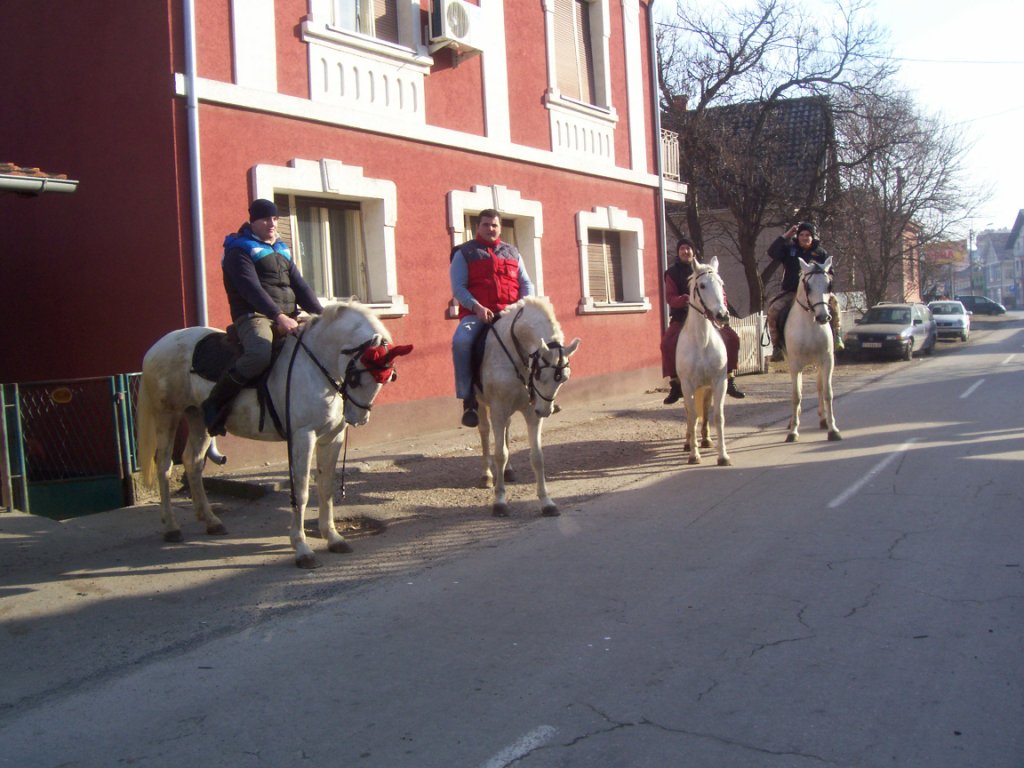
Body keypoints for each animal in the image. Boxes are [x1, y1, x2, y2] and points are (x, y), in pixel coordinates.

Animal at [136, 303, 411, 569]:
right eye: (355, 378)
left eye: (387, 378)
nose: (357, 418)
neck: (316, 365)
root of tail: (159, 345)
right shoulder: (303, 437)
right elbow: (302, 491)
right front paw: (302, 548)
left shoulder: (332, 438)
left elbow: (326, 487)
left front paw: (332, 537)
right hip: (167, 415)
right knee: (164, 466)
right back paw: (171, 526)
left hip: (197, 419)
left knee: (192, 463)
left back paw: (211, 521)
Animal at [473, 296, 581, 518]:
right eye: (540, 375)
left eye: (563, 379)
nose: (545, 411)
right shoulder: (498, 409)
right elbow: (500, 454)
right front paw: (500, 501)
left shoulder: (532, 412)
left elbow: (537, 456)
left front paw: (546, 502)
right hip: (481, 404)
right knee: (485, 433)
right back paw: (486, 475)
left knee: (506, 430)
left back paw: (508, 471)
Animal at [675, 256, 733, 466]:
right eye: (702, 285)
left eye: (721, 284)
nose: (722, 315)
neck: (702, 342)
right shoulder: (687, 385)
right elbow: (692, 416)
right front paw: (694, 455)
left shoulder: (719, 382)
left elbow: (718, 416)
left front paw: (723, 455)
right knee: (689, 412)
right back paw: (688, 442)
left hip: (706, 387)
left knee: (706, 410)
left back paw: (706, 439)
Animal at [782, 256, 839, 442]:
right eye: (808, 286)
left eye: (829, 285)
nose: (823, 317)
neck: (810, 325)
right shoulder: (795, 364)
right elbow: (796, 395)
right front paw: (793, 431)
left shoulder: (827, 360)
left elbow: (827, 392)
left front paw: (833, 429)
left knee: (820, 386)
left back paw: (823, 419)